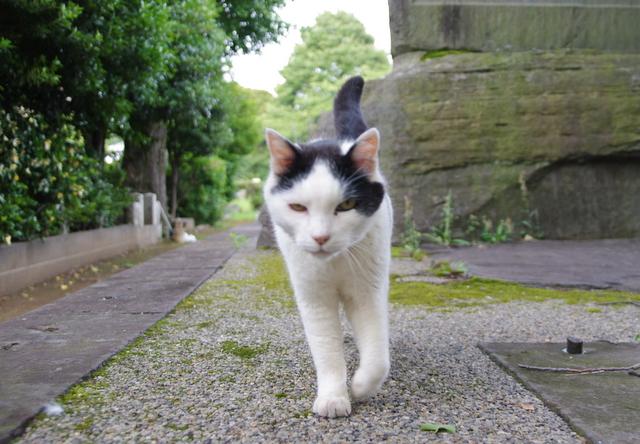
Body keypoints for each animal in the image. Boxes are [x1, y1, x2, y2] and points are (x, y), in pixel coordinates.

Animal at [262, 74, 392, 418]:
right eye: (298, 207)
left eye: (346, 205)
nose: (321, 237)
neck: (335, 263)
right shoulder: (314, 297)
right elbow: (326, 349)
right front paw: (333, 397)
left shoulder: (367, 291)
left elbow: (378, 356)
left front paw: (360, 386)